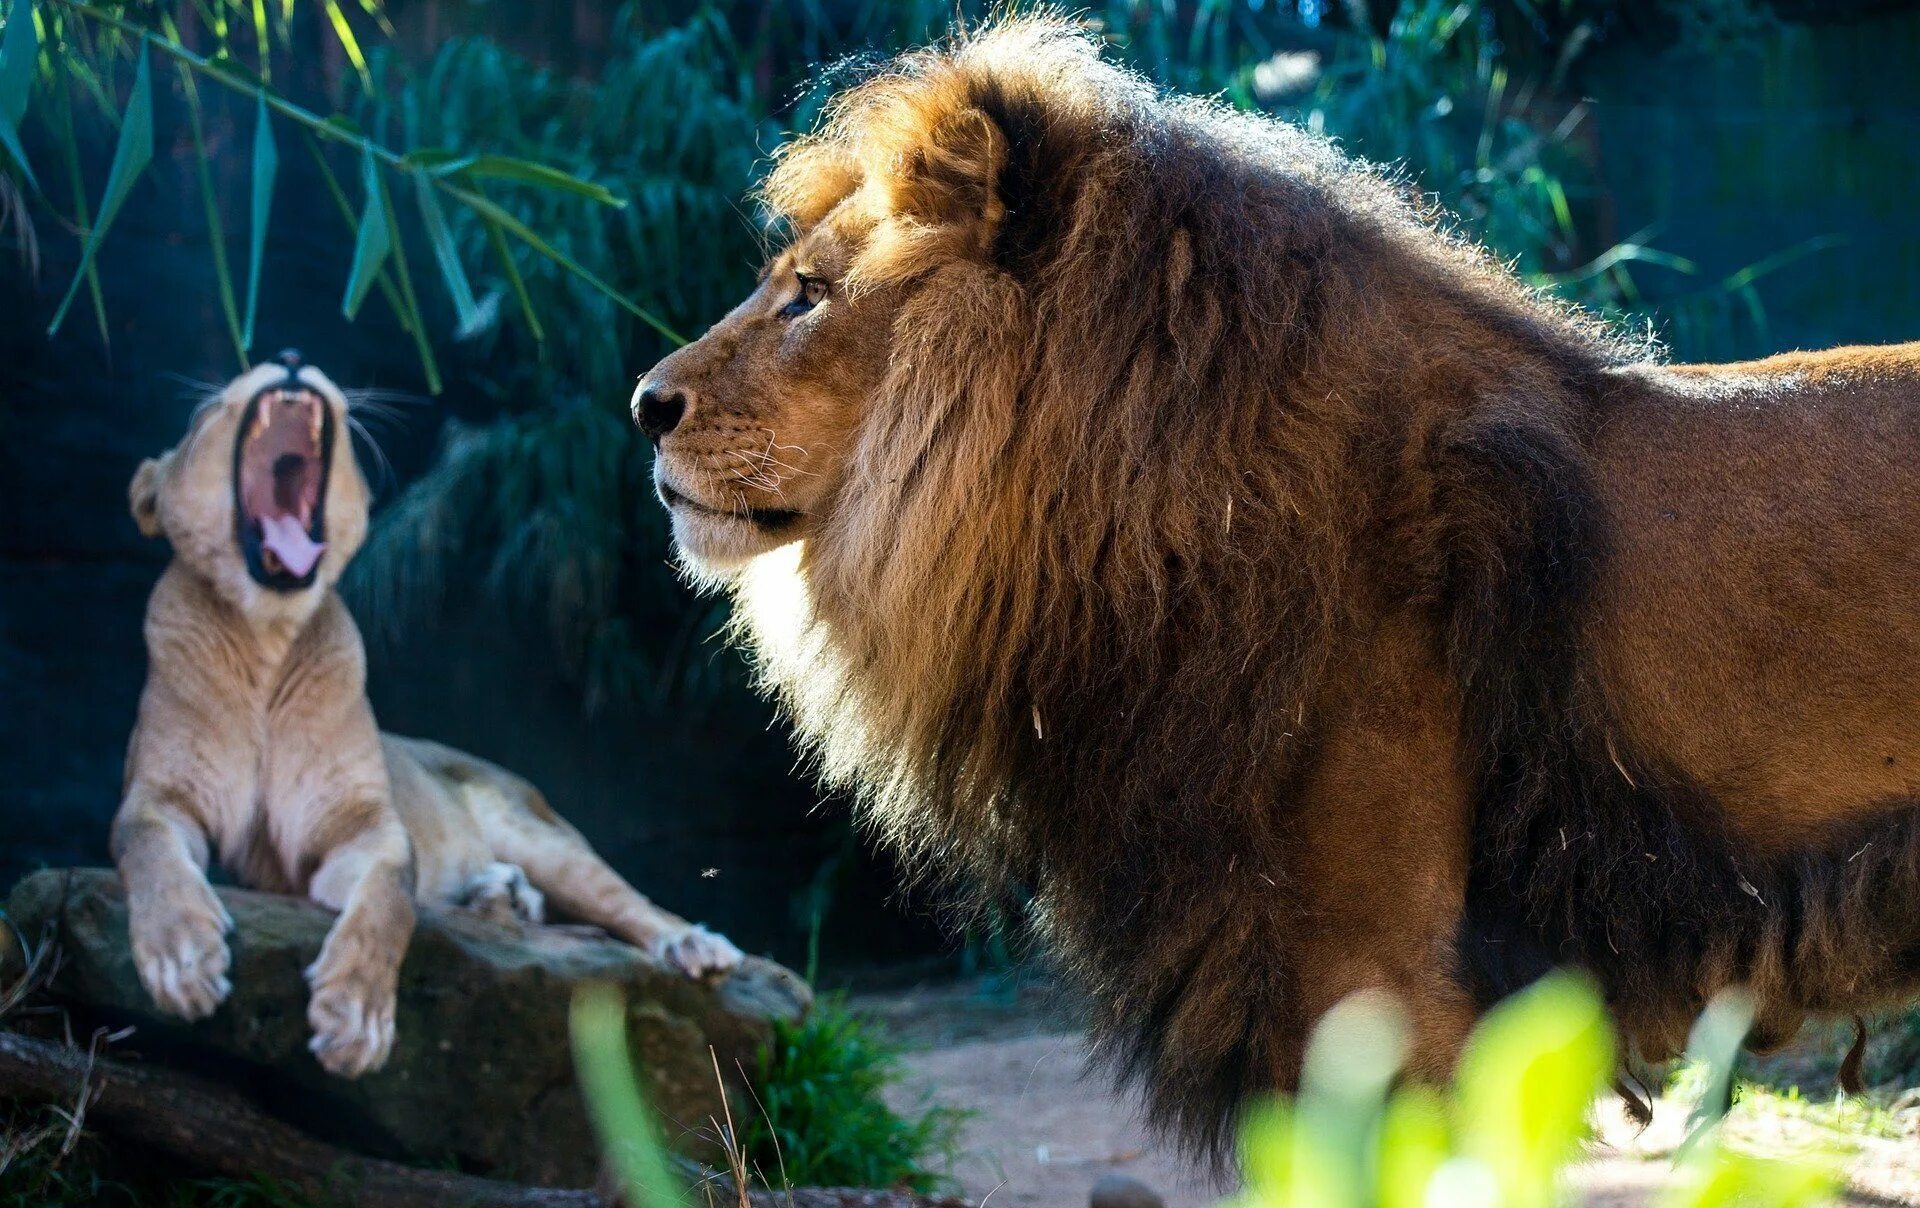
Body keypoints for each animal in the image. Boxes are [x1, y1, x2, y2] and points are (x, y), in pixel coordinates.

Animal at [116, 355, 737, 1075]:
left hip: (541, 834)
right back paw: (500, 895)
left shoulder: (369, 826)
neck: (266, 640)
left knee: (627, 901)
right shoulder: (156, 797)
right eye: (207, 410)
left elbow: (390, 902)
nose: (293, 358)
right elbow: (150, 851)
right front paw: (182, 962)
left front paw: (355, 1021)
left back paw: (692, 944)